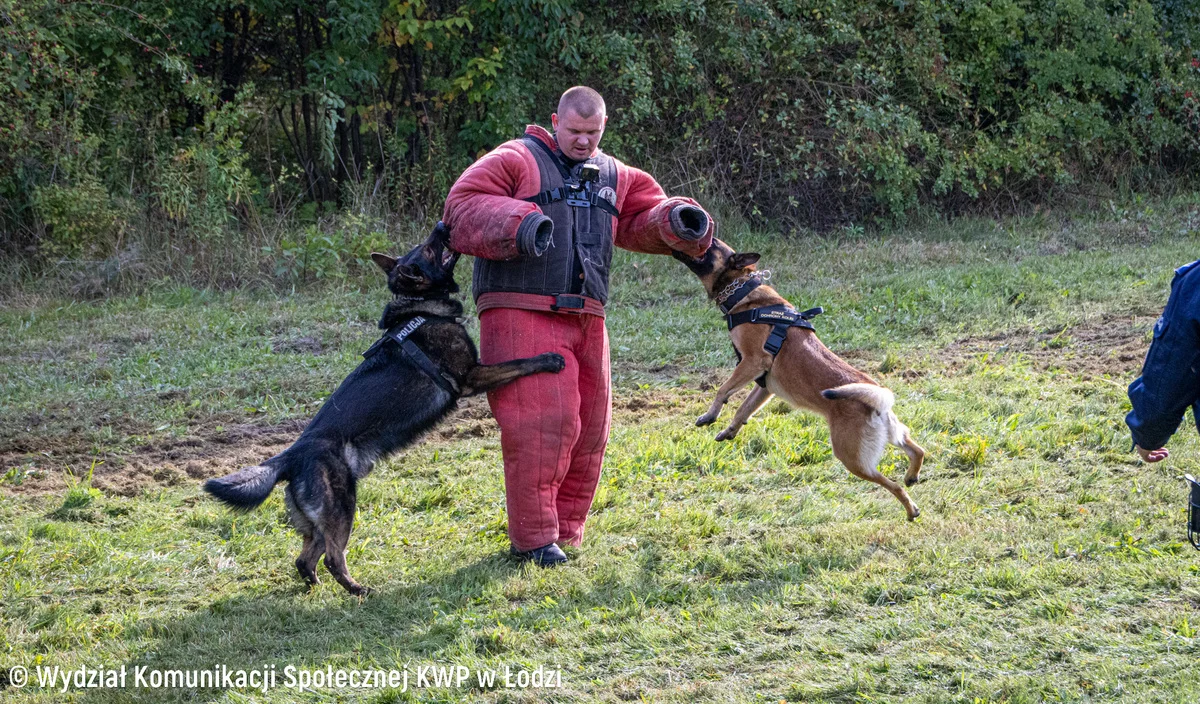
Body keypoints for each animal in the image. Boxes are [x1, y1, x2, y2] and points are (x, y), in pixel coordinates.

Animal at [204, 224, 564, 594]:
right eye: (429, 249)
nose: (442, 225)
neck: (419, 307)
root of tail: (291, 455)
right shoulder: (471, 377)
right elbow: (517, 364)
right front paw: (549, 359)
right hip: (342, 509)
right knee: (333, 557)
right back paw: (359, 590)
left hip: (318, 521)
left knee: (304, 560)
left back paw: (315, 587)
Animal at [676, 239, 926, 520]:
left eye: (711, 246)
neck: (746, 294)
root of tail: (876, 400)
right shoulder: (764, 385)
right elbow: (744, 409)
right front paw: (729, 430)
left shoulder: (751, 362)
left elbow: (722, 390)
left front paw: (710, 415)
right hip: (891, 436)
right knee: (918, 450)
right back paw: (912, 476)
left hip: (852, 458)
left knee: (893, 484)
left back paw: (910, 508)